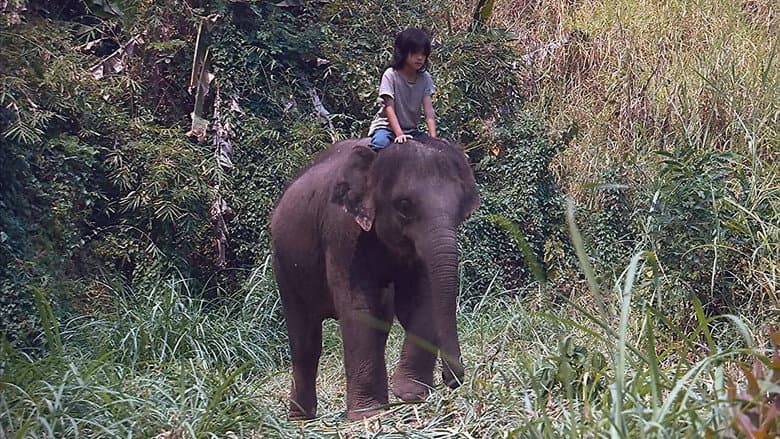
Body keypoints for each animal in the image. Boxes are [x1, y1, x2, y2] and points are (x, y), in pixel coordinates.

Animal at [270, 136, 479, 420]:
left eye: (461, 210)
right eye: (404, 205)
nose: (450, 379)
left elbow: (422, 300)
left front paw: (410, 394)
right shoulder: (342, 232)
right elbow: (359, 309)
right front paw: (368, 414)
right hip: (284, 266)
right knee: (305, 341)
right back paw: (301, 420)